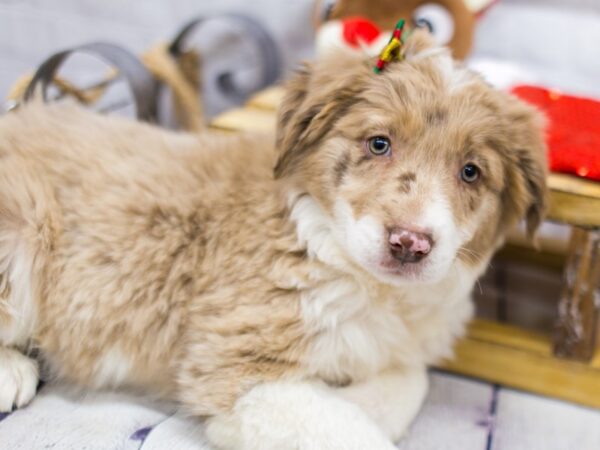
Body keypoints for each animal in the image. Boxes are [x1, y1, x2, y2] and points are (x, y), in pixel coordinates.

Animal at [0, 32, 544, 450]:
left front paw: (350, 393)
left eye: (471, 172)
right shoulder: (234, 361)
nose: (409, 243)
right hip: (22, 225)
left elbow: (409, 381)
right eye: (379, 143)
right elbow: (344, 429)